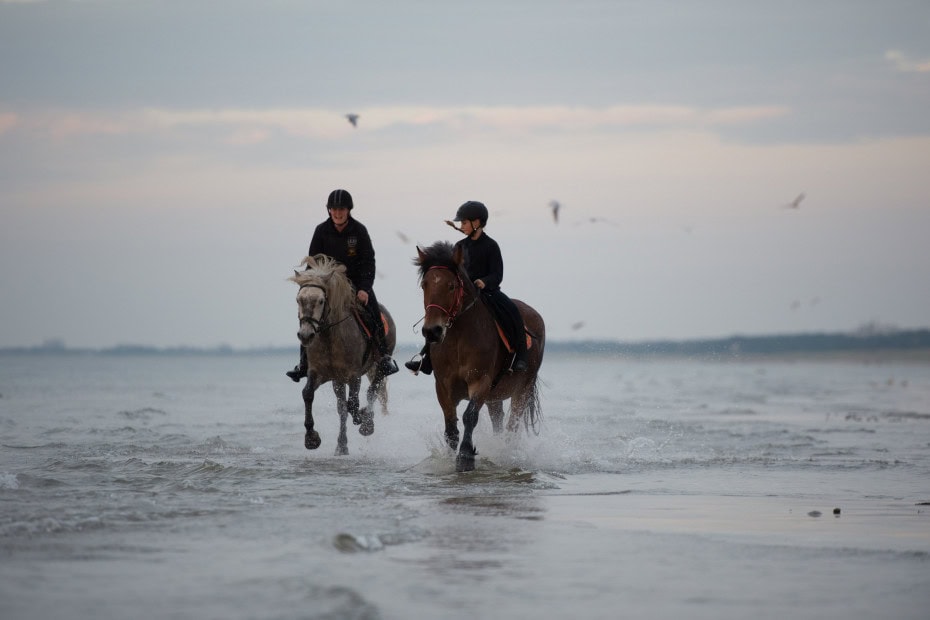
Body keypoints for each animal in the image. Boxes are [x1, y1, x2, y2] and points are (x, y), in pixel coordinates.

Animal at [288, 256, 394, 456]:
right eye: (298, 300)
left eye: (321, 301)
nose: (305, 335)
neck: (330, 337)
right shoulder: (318, 373)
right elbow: (308, 394)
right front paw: (311, 438)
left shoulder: (354, 374)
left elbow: (353, 404)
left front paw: (364, 419)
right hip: (338, 380)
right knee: (343, 408)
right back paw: (342, 445)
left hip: (378, 365)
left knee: (373, 389)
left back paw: (367, 422)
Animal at [416, 242, 544, 470]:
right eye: (425, 285)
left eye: (451, 286)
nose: (432, 331)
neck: (458, 338)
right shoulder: (443, 386)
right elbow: (451, 427)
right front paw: (450, 458)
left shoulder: (480, 382)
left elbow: (470, 416)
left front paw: (465, 456)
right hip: (495, 397)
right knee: (498, 421)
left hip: (523, 390)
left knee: (512, 426)